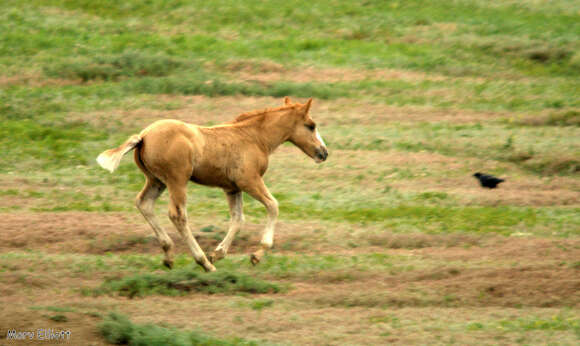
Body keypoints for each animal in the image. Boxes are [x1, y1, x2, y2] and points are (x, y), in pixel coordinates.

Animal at [97, 96, 328, 272]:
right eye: (311, 126)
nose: (323, 153)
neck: (254, 137)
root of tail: (143, 136)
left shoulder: (232, 188)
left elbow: (238, 219)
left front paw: (217, 253)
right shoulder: (249, 181)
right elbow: (273, 206)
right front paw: (256, 255)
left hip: (156, 181)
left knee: (144, 204)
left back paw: (169, 256)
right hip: (177, 180)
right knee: (177, 215)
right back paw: (203, 263)